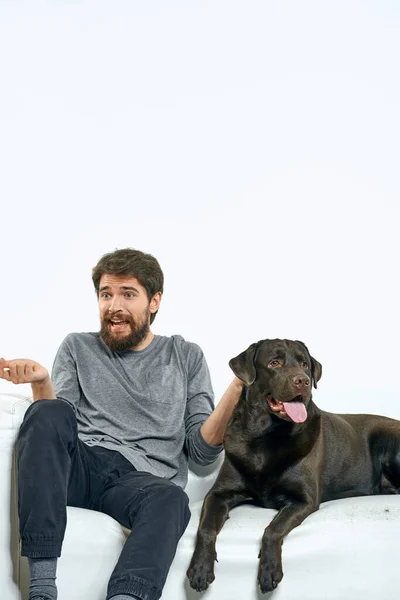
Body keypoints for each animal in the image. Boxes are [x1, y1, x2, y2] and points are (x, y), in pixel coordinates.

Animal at [187, 340, 400, 592]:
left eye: (305, 364)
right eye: (274, 363)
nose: (304, 381)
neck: (266, 436)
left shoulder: (303, 500)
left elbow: (272, 529)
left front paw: (269, 570)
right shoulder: (218, 494)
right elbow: (205, 528)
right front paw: (200, 568)